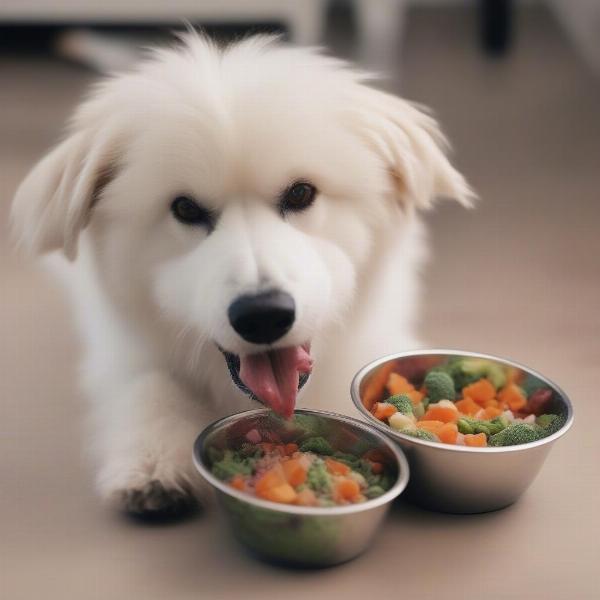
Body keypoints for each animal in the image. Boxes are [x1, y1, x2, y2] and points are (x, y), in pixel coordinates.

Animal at [10, 35, 474, 516]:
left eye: (301, 193)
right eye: (185, 208)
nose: (263, 316)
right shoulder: (124, 350)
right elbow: (150, 387)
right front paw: (153, 462)